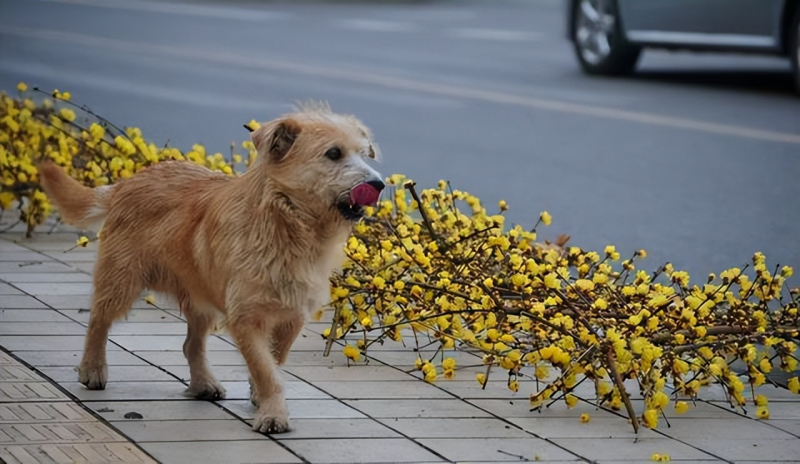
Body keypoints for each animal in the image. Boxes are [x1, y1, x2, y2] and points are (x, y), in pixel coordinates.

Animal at [38, 103, 384, 434]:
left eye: (365, 153)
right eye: (333, 153)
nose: (378, 184)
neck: (287, 224)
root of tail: (129, 181)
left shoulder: (292, 315)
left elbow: (274, 359)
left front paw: (259, 395)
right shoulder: (246, 318)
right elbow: (266, 369)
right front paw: (273, 414)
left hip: (200, 299)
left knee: (191, 345)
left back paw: (203, 383)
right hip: (121, 280)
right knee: (98, 320)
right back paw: (92, 368)